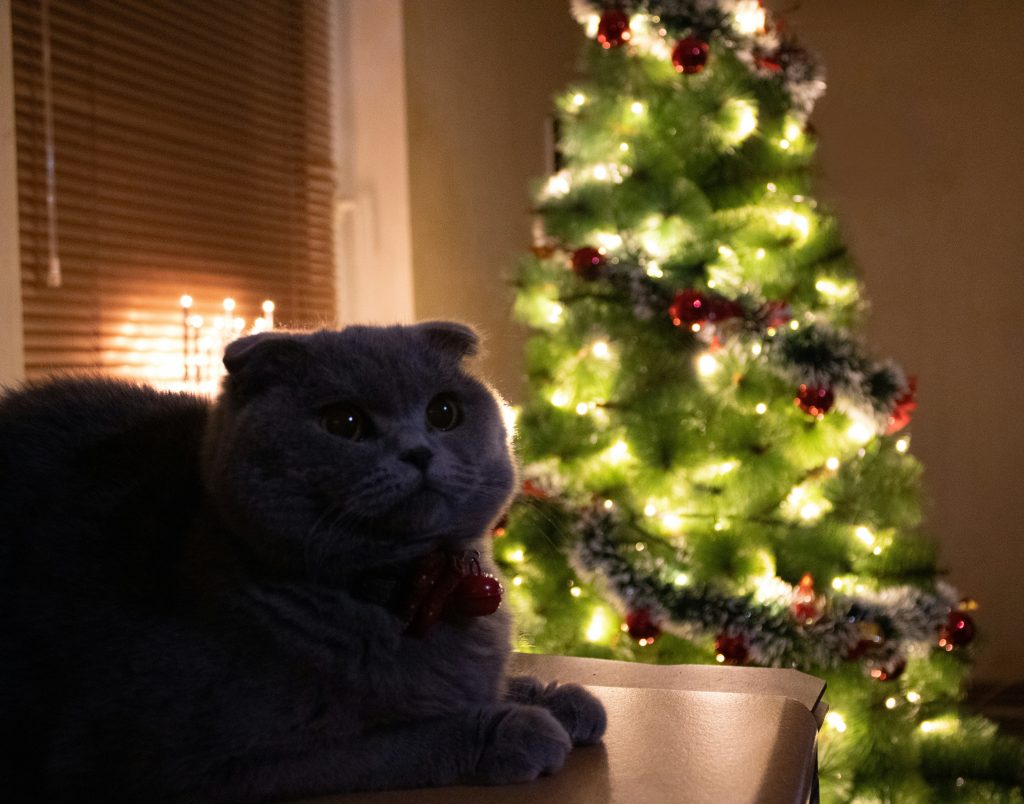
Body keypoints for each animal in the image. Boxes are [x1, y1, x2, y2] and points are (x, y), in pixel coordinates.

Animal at [0, 321, 606, 802]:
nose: (418, 451)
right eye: (344, 423)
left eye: (444, 412)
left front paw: (559, 697)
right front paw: (516, 728)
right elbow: (393, 743)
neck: (420, 588)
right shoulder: (182, 762)